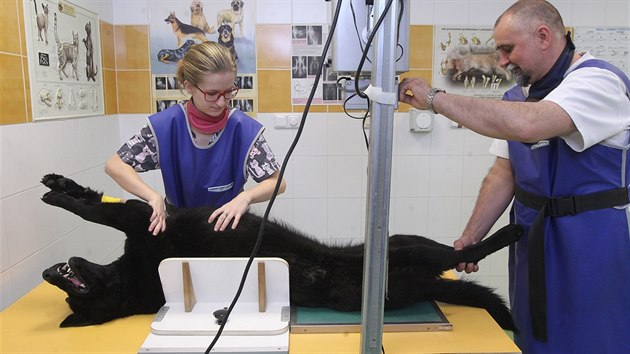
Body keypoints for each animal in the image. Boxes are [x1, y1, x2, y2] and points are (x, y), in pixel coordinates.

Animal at [40, 174, 524, 330]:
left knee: (451, 250)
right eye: (78, 299)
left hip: (400, 241)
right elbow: (99, 211)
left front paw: (60, 188)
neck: (128, 278)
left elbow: (94, 206)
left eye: (73, 287)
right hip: (408, 261)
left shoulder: (146, 217)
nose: (49, 273)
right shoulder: (144, 224)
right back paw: (511, 231)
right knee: (453, 256)